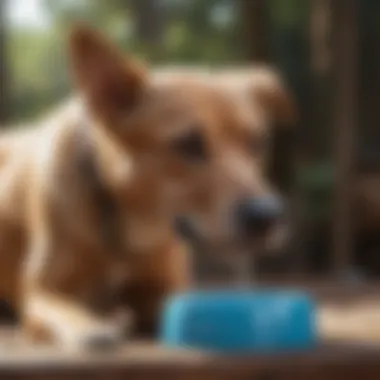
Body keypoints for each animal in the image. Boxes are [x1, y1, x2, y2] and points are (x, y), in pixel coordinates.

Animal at [0, 26, 296, 350]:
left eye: (257, 142)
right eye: (188, 144)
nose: (266, 217)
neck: (125, 229)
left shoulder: (165, 289)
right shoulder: (42, 290)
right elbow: (60, 309)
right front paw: (87, 327)